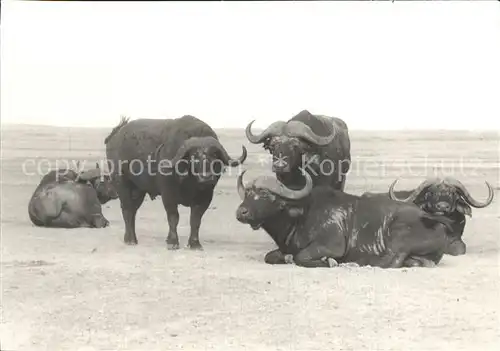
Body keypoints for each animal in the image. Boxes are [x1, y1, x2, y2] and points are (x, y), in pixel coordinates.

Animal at [105, 114, 248, 249]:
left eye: (214, 155)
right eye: (194, 156)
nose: (206, 177)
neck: (190, 183)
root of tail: (115, 136)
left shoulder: (206, 197)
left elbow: (195, 220)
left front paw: (194, 244)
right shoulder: (168, 194)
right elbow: (173, 217)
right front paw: (172, 242)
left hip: (139, 190)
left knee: (133, 210)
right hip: (122, 185)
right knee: (127, 209)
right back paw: (130, 240)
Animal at [234, 169, 454, 268]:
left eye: (265, 194)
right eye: (248, 193)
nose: (241, 212)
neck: (301, 215)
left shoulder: (332, 245)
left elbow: (301, 257)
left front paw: (329, 262)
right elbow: (271, 256)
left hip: (399, 235)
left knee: (390, 260)